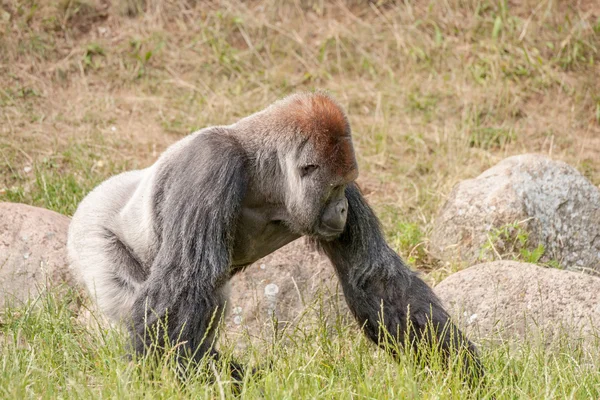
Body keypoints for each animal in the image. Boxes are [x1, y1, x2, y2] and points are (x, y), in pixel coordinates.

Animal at [69, 92, 482, 380]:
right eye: (334, 188)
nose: (342, 209)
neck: (265, 175)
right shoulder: (211, 161)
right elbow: (185, 280)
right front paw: (161, 377)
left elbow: (375, 279)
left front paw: (463, 370)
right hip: (91, 235)